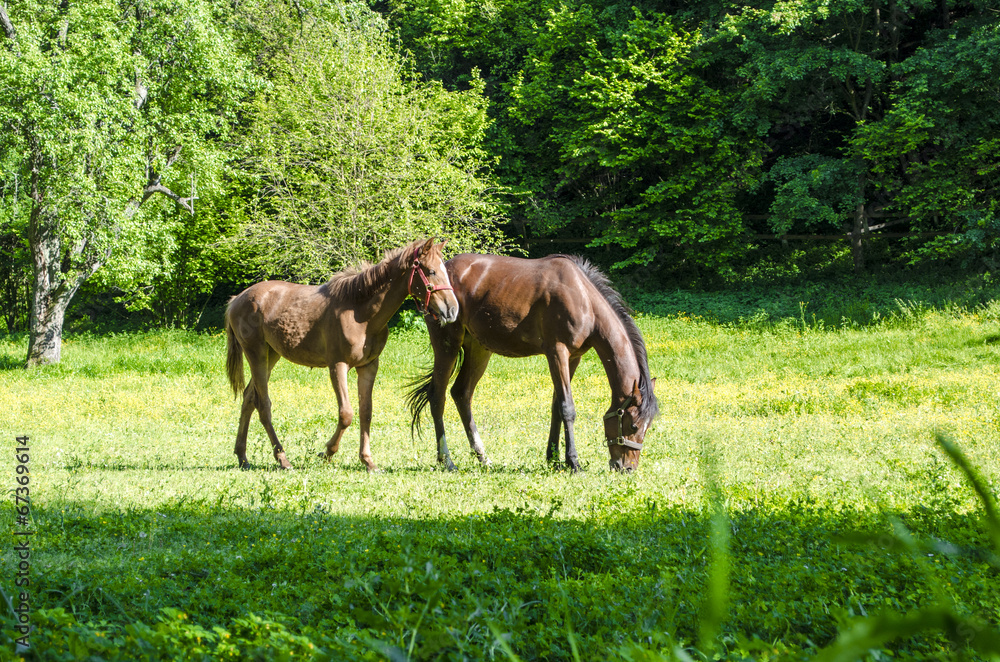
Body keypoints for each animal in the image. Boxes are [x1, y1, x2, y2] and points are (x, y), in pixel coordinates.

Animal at [225, 239, 456, 472]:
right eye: (431, 271)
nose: (452, 310)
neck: (360, 313)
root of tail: (237, 299)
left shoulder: (368, 366)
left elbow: (366, 412)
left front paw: (368, 461)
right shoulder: (338, 365)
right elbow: (346, 414)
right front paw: (327, 452)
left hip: (271, 355)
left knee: (248, 398)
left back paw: (242, 457)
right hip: (256, 354)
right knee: (263, 405)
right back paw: (282, 459)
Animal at [406, 253, 656, 472]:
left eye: (648, 427)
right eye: (633, 426)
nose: (627, 468)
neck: (584, 298)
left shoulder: (573, 357)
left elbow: (556, 406)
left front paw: (554, 458)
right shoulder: (557, 352)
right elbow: (567, 408)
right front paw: (573, 462)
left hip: (479, 349)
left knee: (461, 393)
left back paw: (482, 457)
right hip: (447, 345)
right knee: (437, 397)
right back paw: (446, 460)